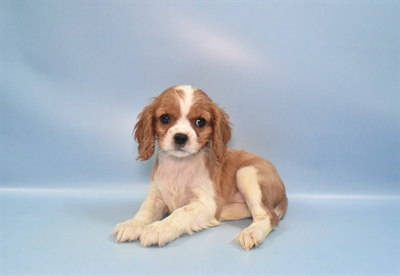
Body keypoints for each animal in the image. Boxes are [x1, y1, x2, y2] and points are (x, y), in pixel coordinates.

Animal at [115, 85, 288, 250]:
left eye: (200, 122)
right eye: (165, 118)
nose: (180, 137)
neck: (179, 164)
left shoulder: (207, 203)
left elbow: (180, 212)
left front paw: (158, 228)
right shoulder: (156, 196)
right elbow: (145, 210)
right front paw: (132, 224)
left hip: (246, 173)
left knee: (269, 216)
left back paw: (251, 232)